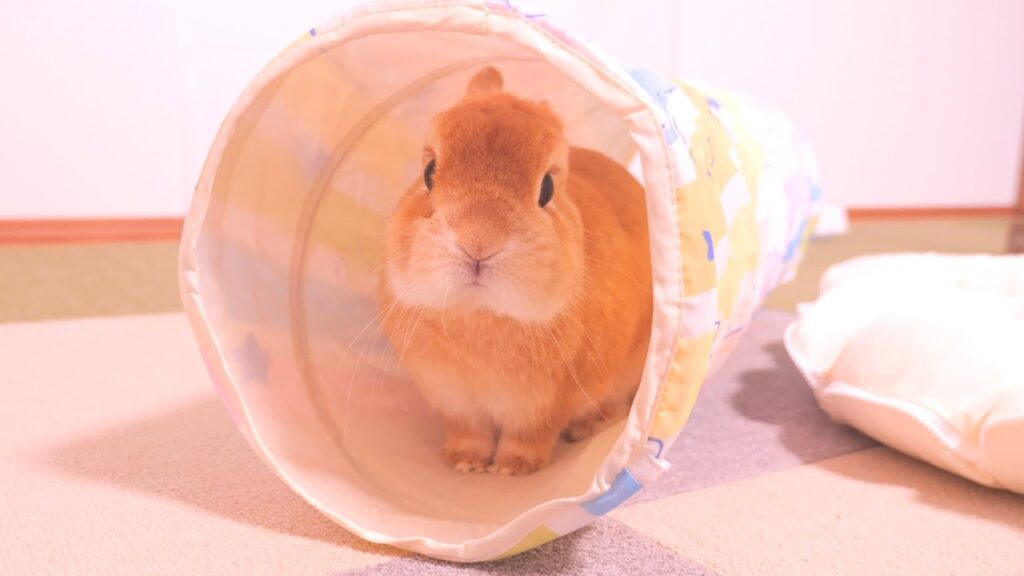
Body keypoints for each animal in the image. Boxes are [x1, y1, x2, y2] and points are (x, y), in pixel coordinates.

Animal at [378, 66, 651, 476]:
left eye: (547, 188)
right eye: (428, 172)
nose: (478, 242)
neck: (479, 314)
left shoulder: (544, 408)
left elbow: (529, 437)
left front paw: (511, 468)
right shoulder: (454, 400)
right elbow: (469, 433)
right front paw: (465, 463)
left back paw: (587, 427)